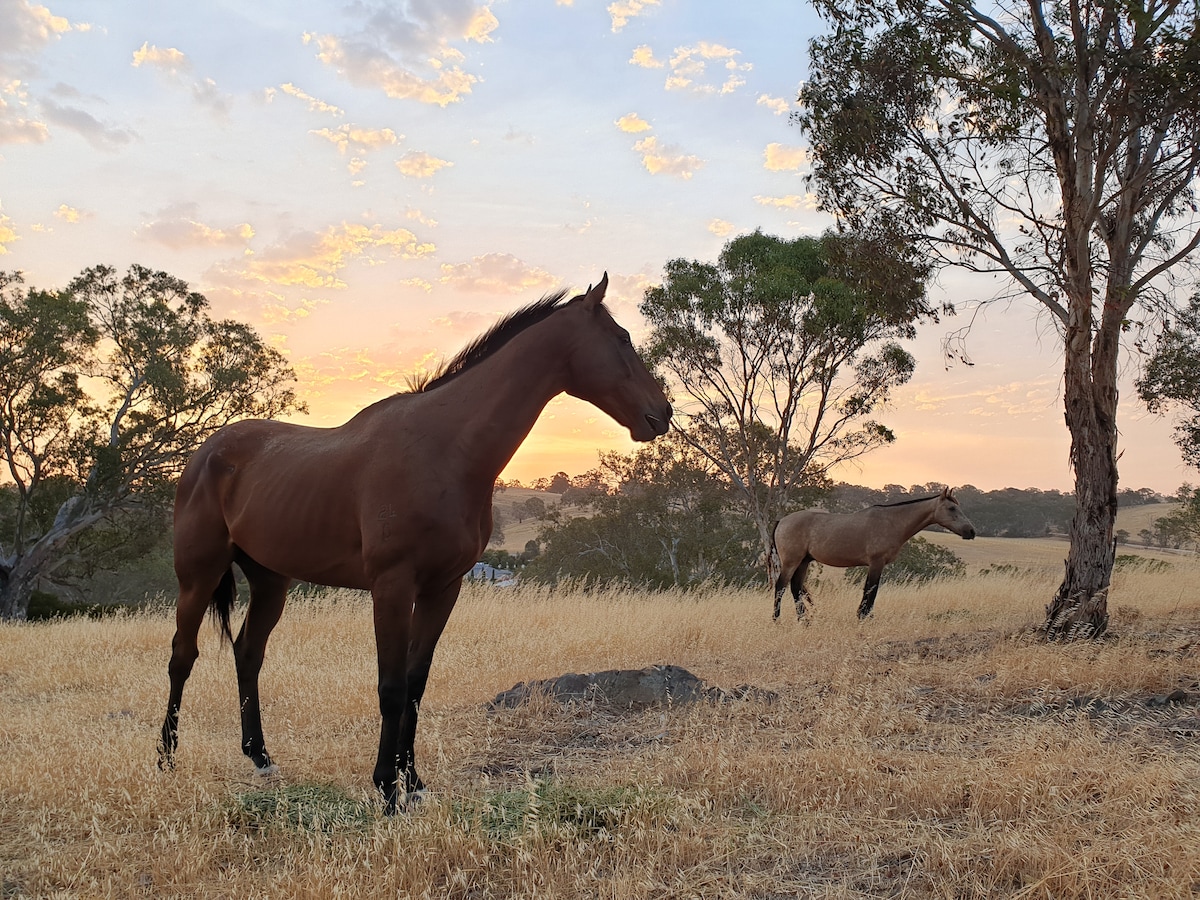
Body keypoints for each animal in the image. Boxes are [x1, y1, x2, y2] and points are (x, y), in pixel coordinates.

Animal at [154, 273, 672, 811]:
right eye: (622, 339)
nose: (663, 413)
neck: (446, 449)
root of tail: (206, 454)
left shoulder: (443, 589)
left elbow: (416, 684)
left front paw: (414, 780)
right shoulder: (392, 588)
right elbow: (391, 686)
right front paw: (387, 788)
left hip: (271, 582)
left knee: (248, 653)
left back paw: (259, 756)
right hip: (199, 576)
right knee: (182, 655)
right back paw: (166, 758)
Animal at [768, 489, 974, 624]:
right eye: (951, 508)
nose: (971, 531)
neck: (892, 522)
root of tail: (781, 521)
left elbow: (871, 591)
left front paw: (865, 616)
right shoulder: (876, 563)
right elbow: (871, 590)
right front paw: (863, 616)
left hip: (803, 562)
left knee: (795, 588)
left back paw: (804, 621)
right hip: (791, 561)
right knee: (780, 587)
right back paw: (777, 620)